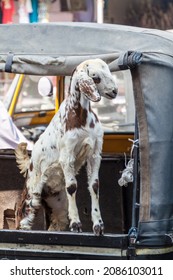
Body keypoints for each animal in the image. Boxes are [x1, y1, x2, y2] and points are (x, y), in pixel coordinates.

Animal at [15, 58, 117, 234]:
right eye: (96, 77)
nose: (114, 91)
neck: (80, 116)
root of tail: (29, 165)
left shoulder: (95, 154)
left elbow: (94, 186)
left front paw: (98, 225)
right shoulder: (67, 155)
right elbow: (71, 186)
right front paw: (76, 224)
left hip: (57, 205)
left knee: (56, 223)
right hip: (32, 194)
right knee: (24, 219)